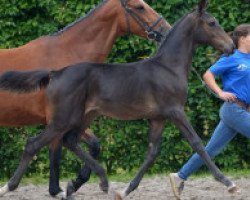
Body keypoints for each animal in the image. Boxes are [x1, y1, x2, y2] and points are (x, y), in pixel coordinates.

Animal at [0, 0, 236, 199]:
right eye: (212, 23)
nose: (231, 46)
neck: (167, 67)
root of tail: (55, 73)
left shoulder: (158, 117)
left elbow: (152, 152)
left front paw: (126, 190)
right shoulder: (175, 111)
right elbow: (197, 143)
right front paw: (228, 182)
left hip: (82, 117)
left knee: (70, 141)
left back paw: (99, 183)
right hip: (62, 120)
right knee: (34, 144)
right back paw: (9, 186)